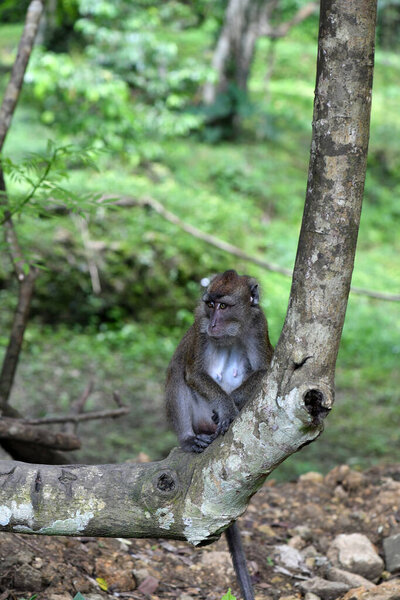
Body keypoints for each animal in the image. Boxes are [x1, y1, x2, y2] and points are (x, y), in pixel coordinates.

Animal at [164, 270, 274, 600]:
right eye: (210, 304)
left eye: (223, 306)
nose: (212, 324)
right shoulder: (198, 326)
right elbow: (193, 373)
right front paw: (225, 406)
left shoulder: (259, 324)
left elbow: (265, 371)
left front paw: (232, 403)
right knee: (178, 369)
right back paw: (191, 440)